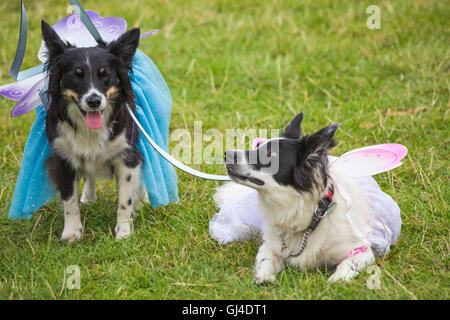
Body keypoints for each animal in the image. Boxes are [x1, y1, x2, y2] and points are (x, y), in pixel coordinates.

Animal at [41, 21, 144, 241]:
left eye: (106, 76)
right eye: (75, 76)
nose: (94, 101)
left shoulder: (127, 155)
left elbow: (125, 200)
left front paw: (124, 233)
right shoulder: (63, 157)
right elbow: (69, 200)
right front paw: (72, 233)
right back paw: (88, 197)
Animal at [220, 113, 374, 282]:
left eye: (269, 155)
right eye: (257, 146)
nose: (226, 154)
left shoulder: (361, 250)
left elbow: (347, 264)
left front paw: (336, 280)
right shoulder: (269, 246)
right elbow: (265, 260)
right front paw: (264, 278)